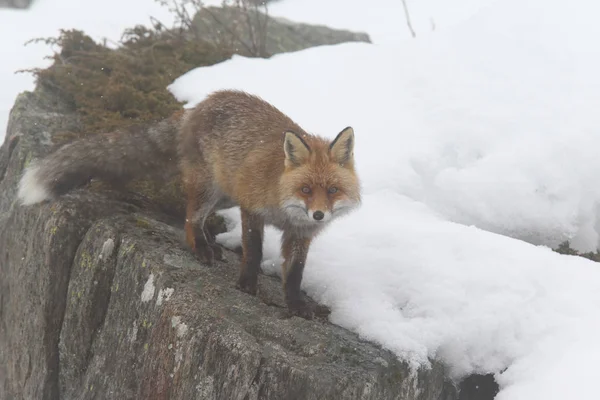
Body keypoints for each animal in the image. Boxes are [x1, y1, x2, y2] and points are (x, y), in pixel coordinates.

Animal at [17, 90, 360, 318]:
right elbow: (253, 251)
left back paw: (209, 243)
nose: (318, 215)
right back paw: (201, 248)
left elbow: (296, 273)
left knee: (196, 216)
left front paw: (296, 304)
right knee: (189, 219)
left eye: (332, 190)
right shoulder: (251, 209)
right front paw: (247, 284)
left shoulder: (300, 234)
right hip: (210, 188)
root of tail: (198, 106)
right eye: (306, 189)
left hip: (224, 194)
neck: (282, 204)